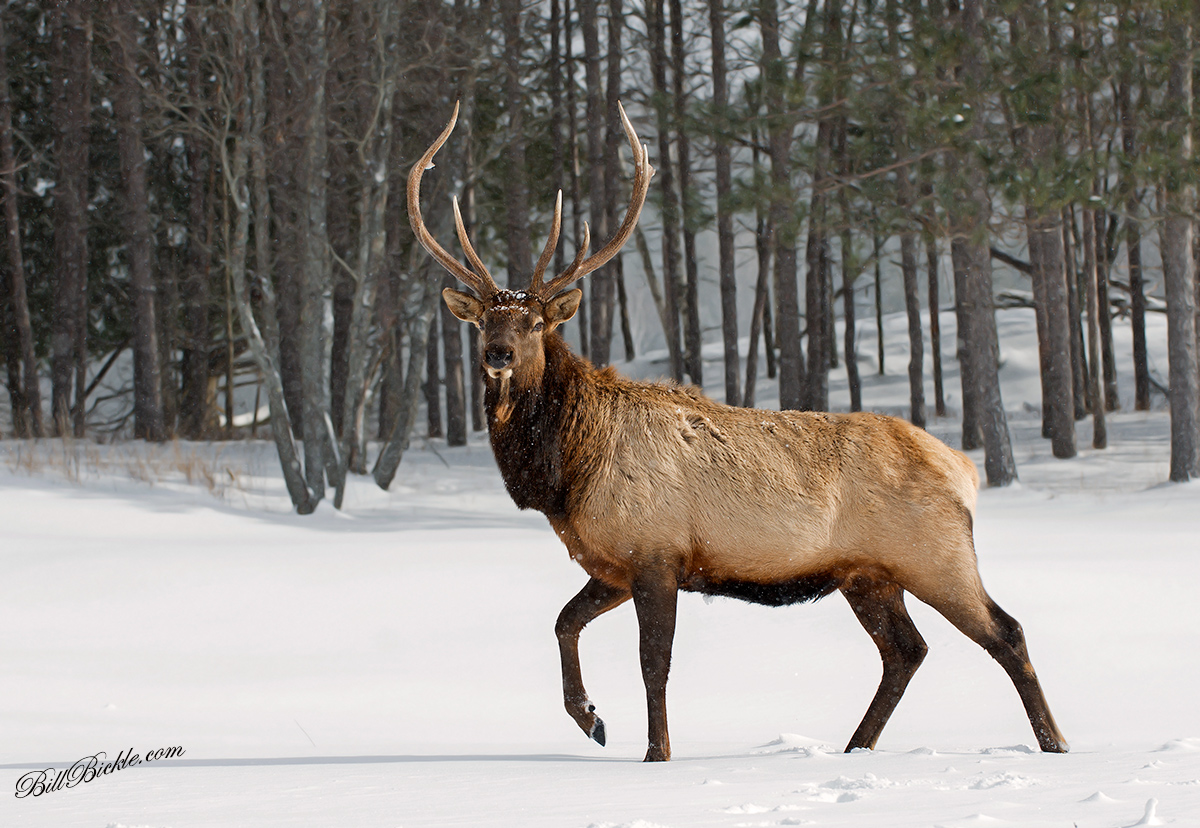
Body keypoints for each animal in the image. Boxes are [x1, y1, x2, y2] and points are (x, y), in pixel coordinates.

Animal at [409, 101, 1068, 762]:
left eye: (536, 322)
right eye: (484, 321)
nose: (497, 354)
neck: (566, 474)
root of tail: (965, 468)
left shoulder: (656, 553)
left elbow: (653, 663)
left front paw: (655, 753)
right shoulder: (615, 562)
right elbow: (563, 622)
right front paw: (591, 718)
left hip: (936, 554)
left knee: (1005, 631)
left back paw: (1055, 743)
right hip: (869, 574)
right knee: (907, 651)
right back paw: (856, 746)